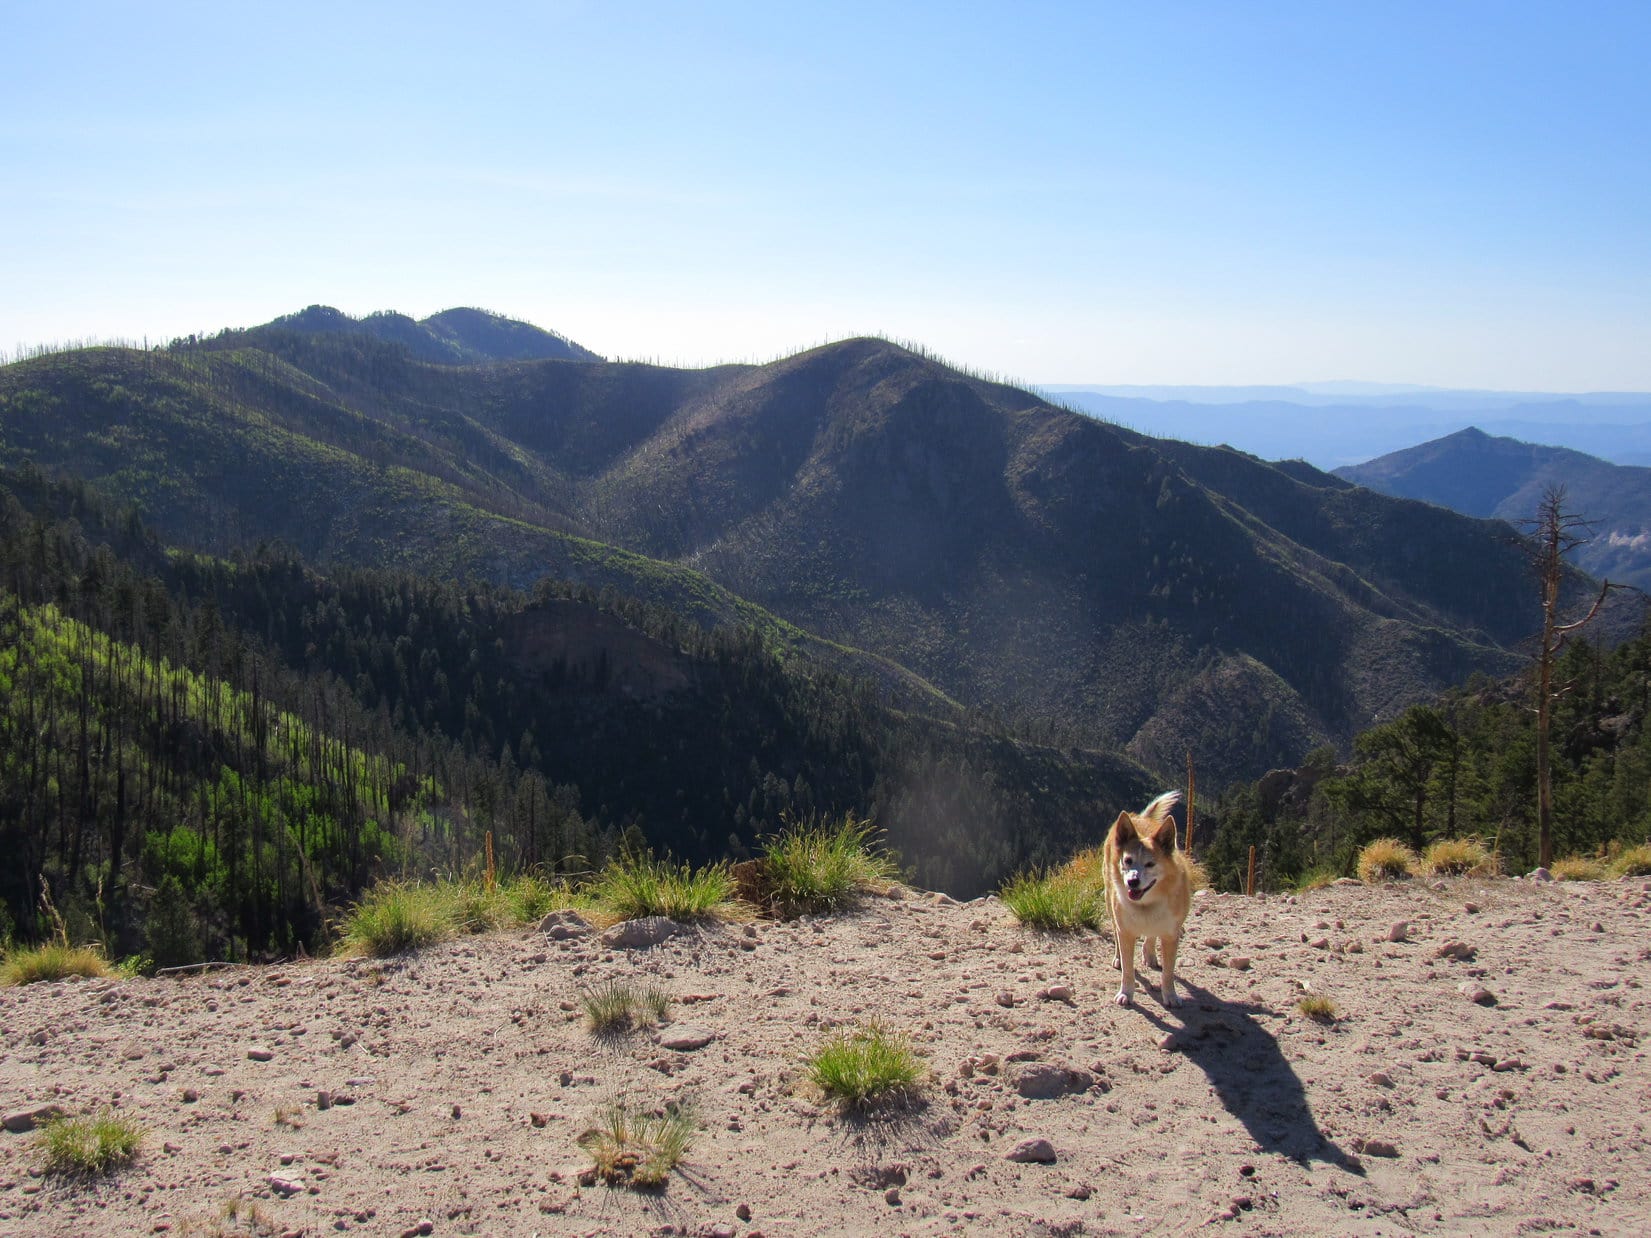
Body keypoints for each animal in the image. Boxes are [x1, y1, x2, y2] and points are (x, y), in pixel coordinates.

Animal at [1104, 790, 1190, 1008]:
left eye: (1150, 864)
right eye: (1127, 860)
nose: (1132, 881)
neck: (1146, 904)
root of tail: (1137, 818)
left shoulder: (1171, 934)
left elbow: (1168, 972)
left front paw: (1171, 996)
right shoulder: (1125, 930)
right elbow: (1128, 969)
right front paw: (1126, 993)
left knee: (1151, 936)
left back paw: (1150, 954)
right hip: (1110, 902)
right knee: (1116, 933)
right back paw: (1118, 958)